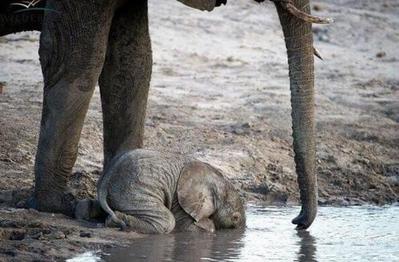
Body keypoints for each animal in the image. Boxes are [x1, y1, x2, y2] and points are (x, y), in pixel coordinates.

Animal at [74, 149, 244, 233]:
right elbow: (187, 227)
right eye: (235, 218)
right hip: (135, 191)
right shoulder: (180, 200)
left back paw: (84, 212)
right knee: (167, 221)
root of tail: (106, 181)